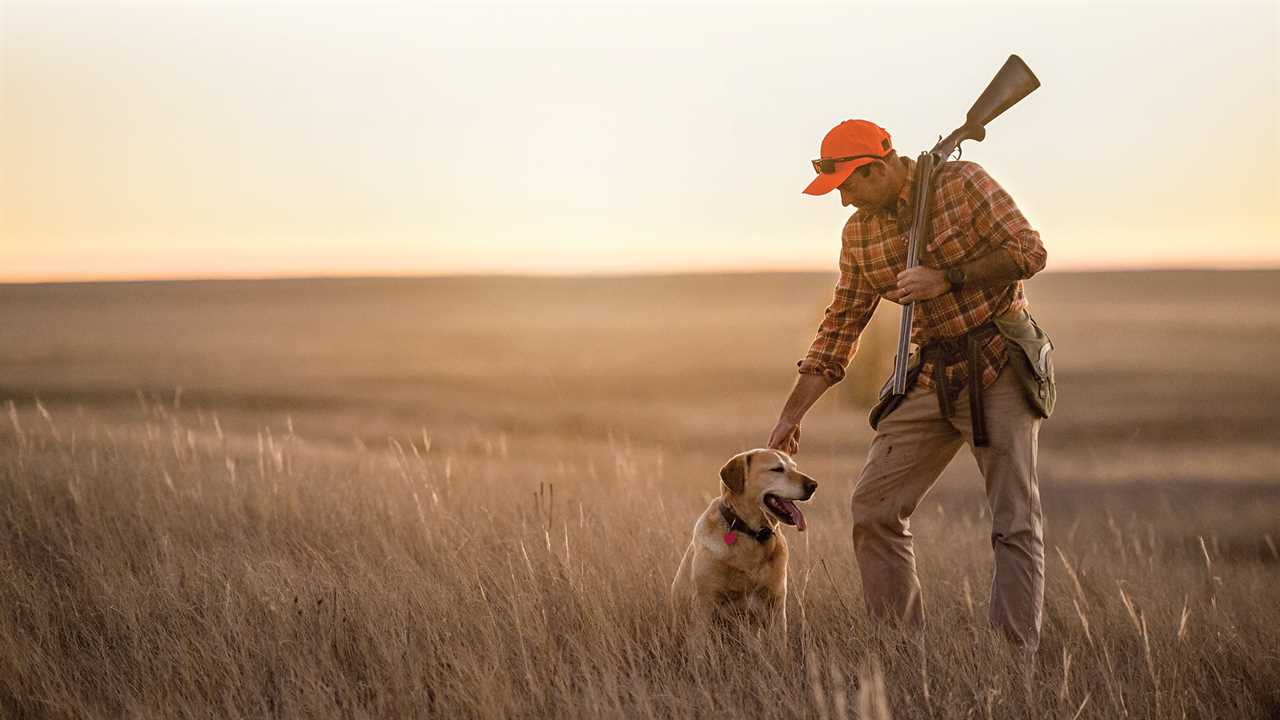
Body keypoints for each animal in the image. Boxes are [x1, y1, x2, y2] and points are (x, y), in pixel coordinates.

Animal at [675, 445, 814, 630]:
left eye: (795, 467)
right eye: (777, 469)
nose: (814, 485)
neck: (752, 534)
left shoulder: (777, 605)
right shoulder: (704, 604)